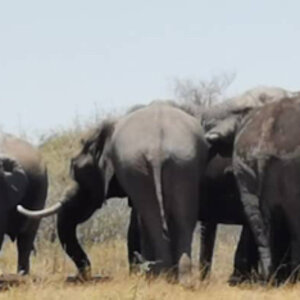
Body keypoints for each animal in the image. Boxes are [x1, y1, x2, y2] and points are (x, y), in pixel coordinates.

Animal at [18, 102, 209, 282]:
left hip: (141, 165)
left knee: (150, 217)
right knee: (183, 217)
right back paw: (181, 280)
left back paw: (159, 277)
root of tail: (157, 150)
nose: (77, 276)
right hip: (183, 162)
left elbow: (135, 224)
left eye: (78, 170)